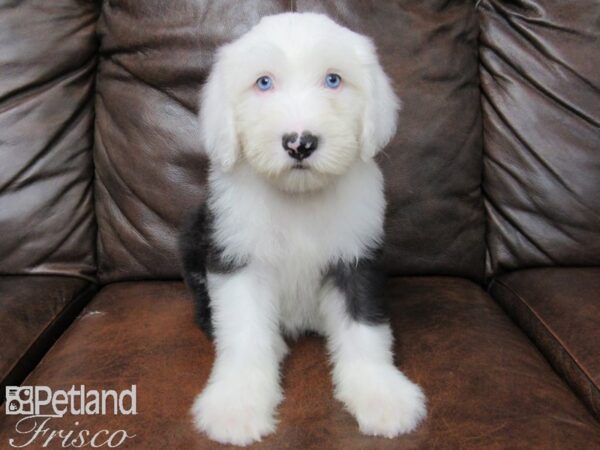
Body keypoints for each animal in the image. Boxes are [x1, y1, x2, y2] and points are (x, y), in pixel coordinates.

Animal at [179, 11, 426, 446]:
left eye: (333, 79)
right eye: (263, 82)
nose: (300, 143)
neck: (298, 198)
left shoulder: (355, 256)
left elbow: (365, 329)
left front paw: (382, 395)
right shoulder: (236, 255)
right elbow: (242, 331)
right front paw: (236, 405)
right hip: (195, 237)